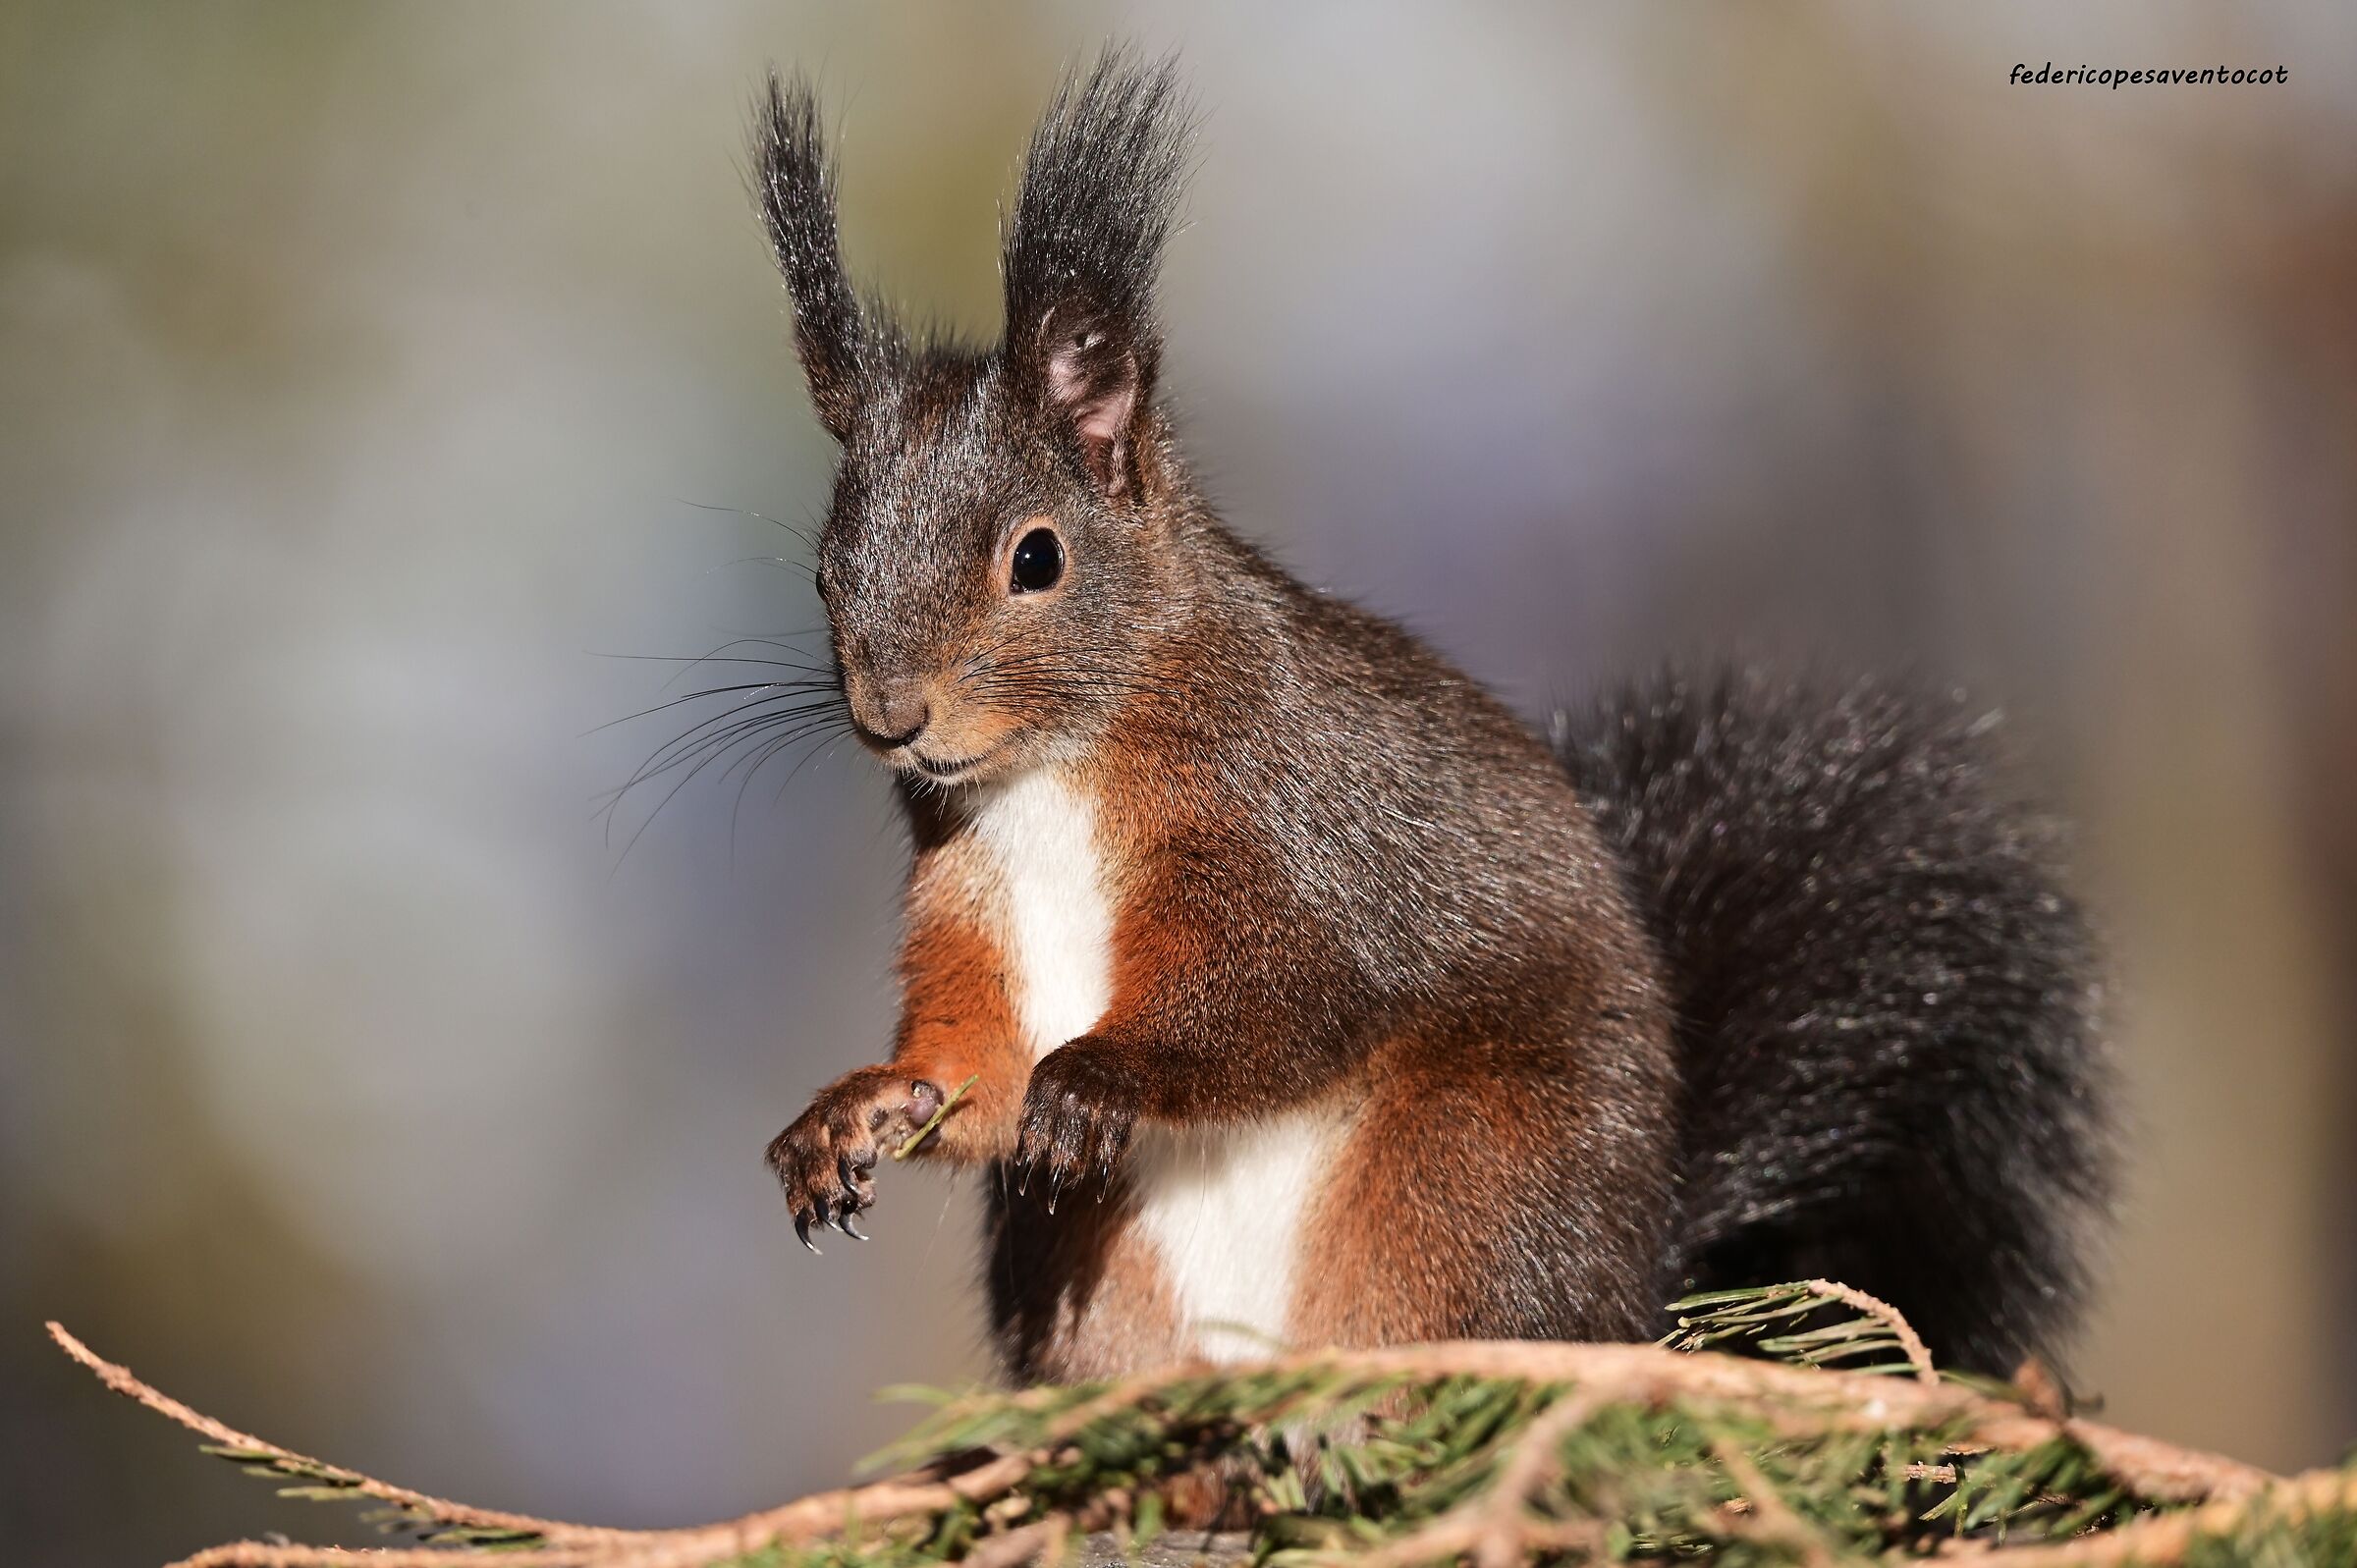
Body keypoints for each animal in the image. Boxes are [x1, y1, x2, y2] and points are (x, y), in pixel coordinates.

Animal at [750, 53, 2113, 1382]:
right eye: (821, 572)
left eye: (1036, 558)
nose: (892, 715)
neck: (1054, 774)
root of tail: (1635, 1293)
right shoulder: (975, 897)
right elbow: (973, 1068)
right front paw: (855, 1108)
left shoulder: (1295, 828)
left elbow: (1287, 993)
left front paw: (1100, 1076)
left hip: (1465, 1180)